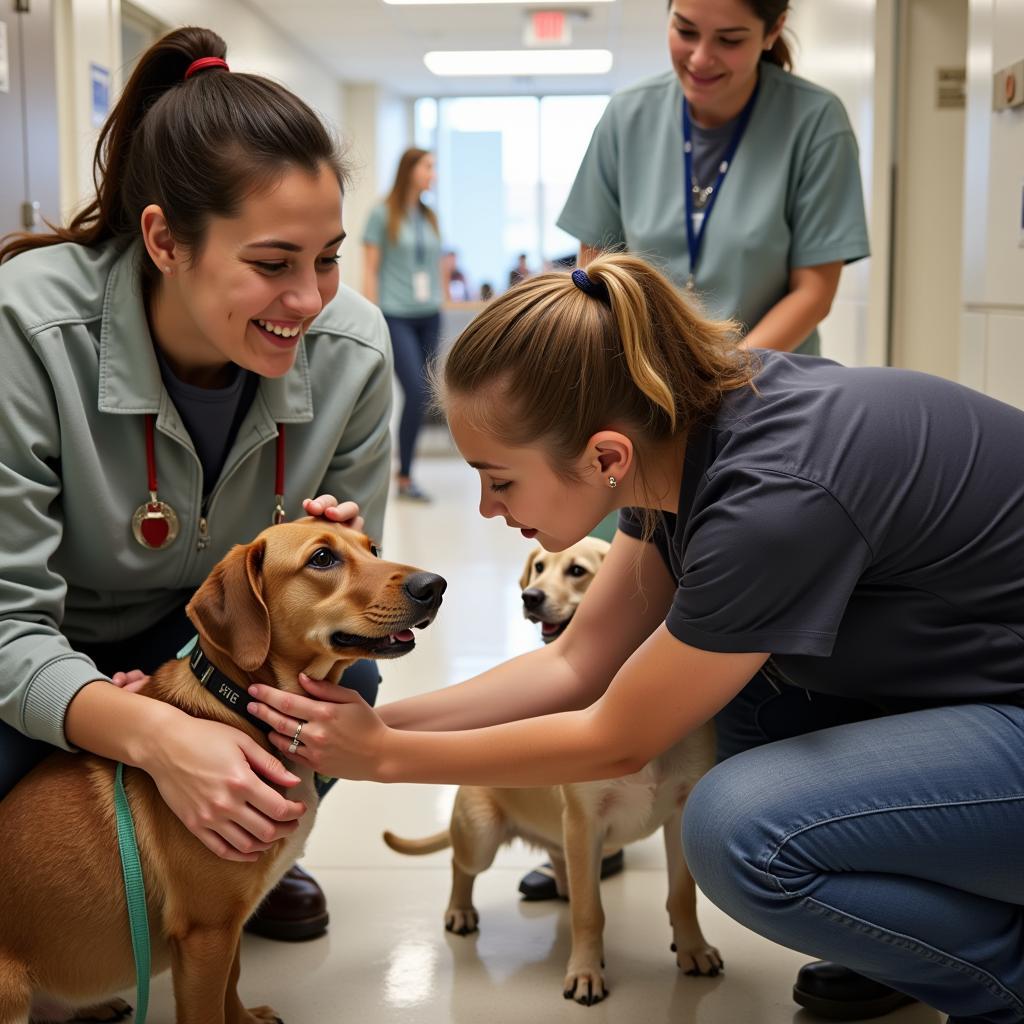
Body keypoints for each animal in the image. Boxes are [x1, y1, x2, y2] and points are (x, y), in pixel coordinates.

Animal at [0, 524, 444, 1019]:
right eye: (322, 558)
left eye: (374, 548)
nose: (434, 585)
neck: (242, 707)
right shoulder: (206, 931)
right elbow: (209, 1007)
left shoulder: (227, 928)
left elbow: (231, 984)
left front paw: (246, 1020)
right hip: (10, 990)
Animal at [385, 540, 720, 1003]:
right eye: (539, 567)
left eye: (577, 571)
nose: (530, 597)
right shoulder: (585, 820)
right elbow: (590, 911)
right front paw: (585, 970)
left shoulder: (679, 816)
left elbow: (682, 897)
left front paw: (693, 948)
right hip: (483, 836)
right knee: (460, 865)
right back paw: (460, 909)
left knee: (562, 865)